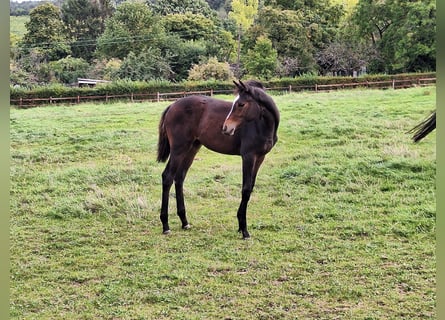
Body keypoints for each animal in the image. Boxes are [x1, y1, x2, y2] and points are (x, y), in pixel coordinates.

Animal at [158, 81, 280, 239]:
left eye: (241, 104)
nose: (226, 128)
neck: (262, 126)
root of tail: (172, 106)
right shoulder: (248, 156)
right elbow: (246, 189)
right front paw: (244, 230)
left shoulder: (260, 158)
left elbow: (251, 187)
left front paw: (240, 226)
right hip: (179, 148)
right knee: (167, 177)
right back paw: (165, 225)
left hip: (192, 147)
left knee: (179, 178)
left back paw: (185, 222)